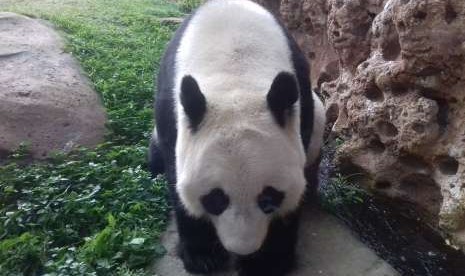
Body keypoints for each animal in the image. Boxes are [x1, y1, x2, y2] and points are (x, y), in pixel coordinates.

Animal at [150, 1, 324, 274]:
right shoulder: (170, 104)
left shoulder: (301, 98)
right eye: (215, 199)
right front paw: (203, 257)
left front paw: (268, 262)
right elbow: (176, 173)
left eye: (269, 198)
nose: (243, 248)